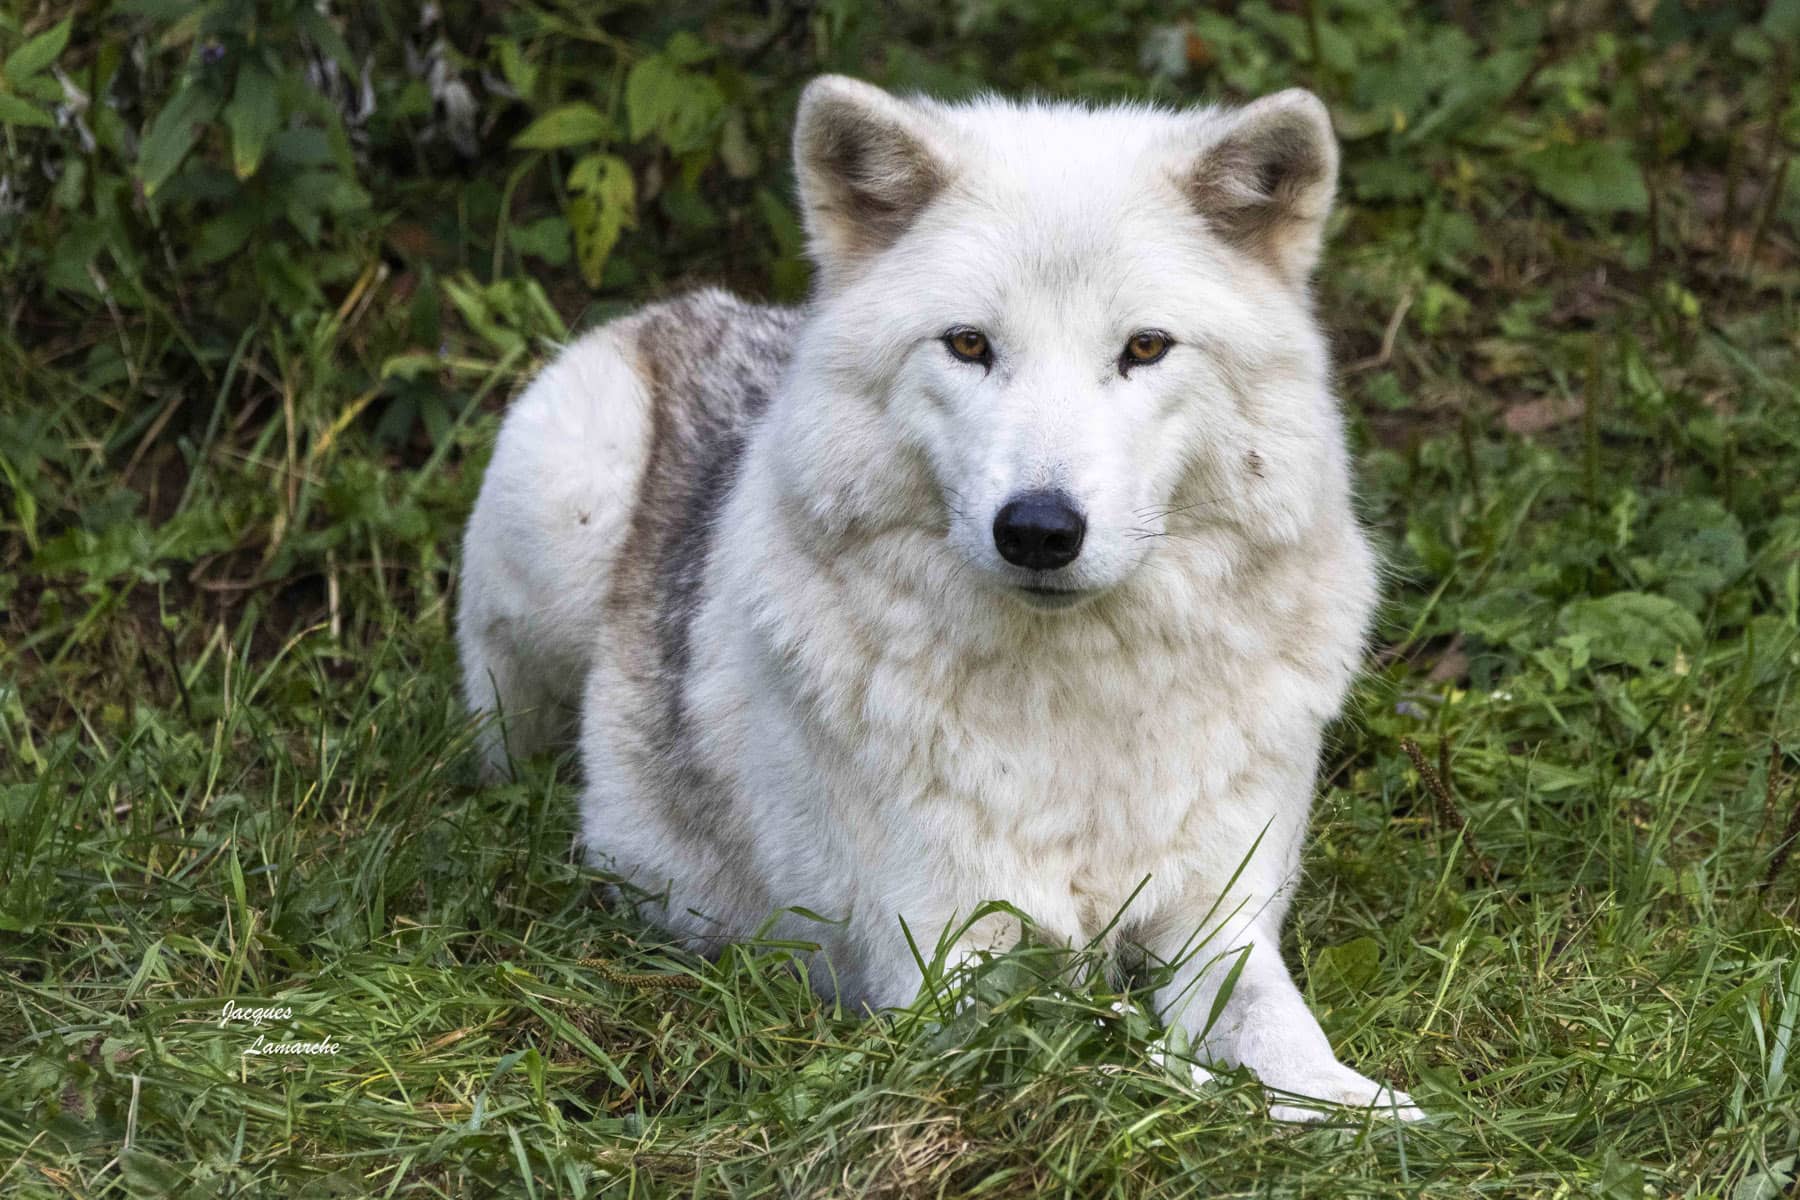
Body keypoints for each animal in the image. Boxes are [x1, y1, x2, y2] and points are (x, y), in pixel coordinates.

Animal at [457, 76, 1420, 1120]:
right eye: (968, 344)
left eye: (1145, 347)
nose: (1038, 528)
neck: (1079, 717)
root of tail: (677, 310)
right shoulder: (950, 978)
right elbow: (1108, 1064)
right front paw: (1204, 1092)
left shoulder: (1221, 925)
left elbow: (1281, 1033)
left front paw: (1363, 1112)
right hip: (567, 515)